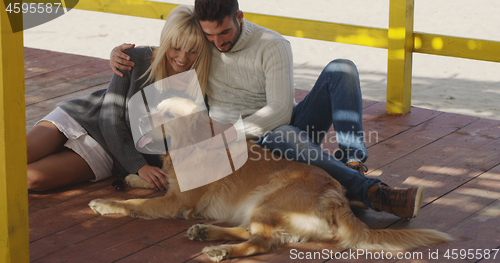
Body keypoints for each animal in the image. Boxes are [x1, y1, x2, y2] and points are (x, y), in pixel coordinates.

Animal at [88, 98, 452, 262]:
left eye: (165, 114)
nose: (138, 119)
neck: (188, 144)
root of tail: (337, 195)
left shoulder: (177, 201)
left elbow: (136, 204)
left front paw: (106, 202)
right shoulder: (173, 188)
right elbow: (154, 181)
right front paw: (134, 176)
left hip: (267, 201)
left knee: (260, 242)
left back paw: (219, 249)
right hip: (257, 207)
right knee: (253, 233)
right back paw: (208, 233)